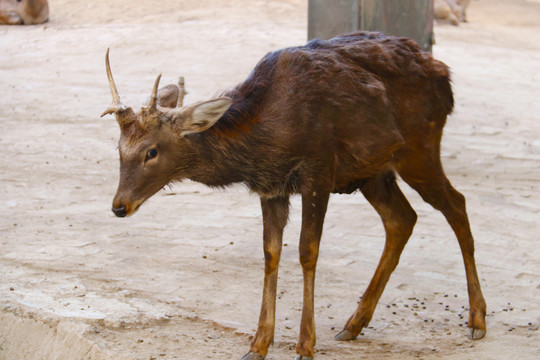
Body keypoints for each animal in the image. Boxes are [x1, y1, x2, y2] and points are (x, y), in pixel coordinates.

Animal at [101, 31, 486, 360]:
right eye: (119, 148)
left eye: (151, 151)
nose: (119, 206)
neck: (264, 137)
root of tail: (444, 74)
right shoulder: (271, 188)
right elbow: (271, 253)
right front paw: (258, 344)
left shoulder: (318, 171)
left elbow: (307, 252)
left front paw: (305, 345)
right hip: (373, 171)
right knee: (402, 219)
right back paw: (354, 323)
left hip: (420, 148)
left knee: (457, 204)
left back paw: (477, 319)